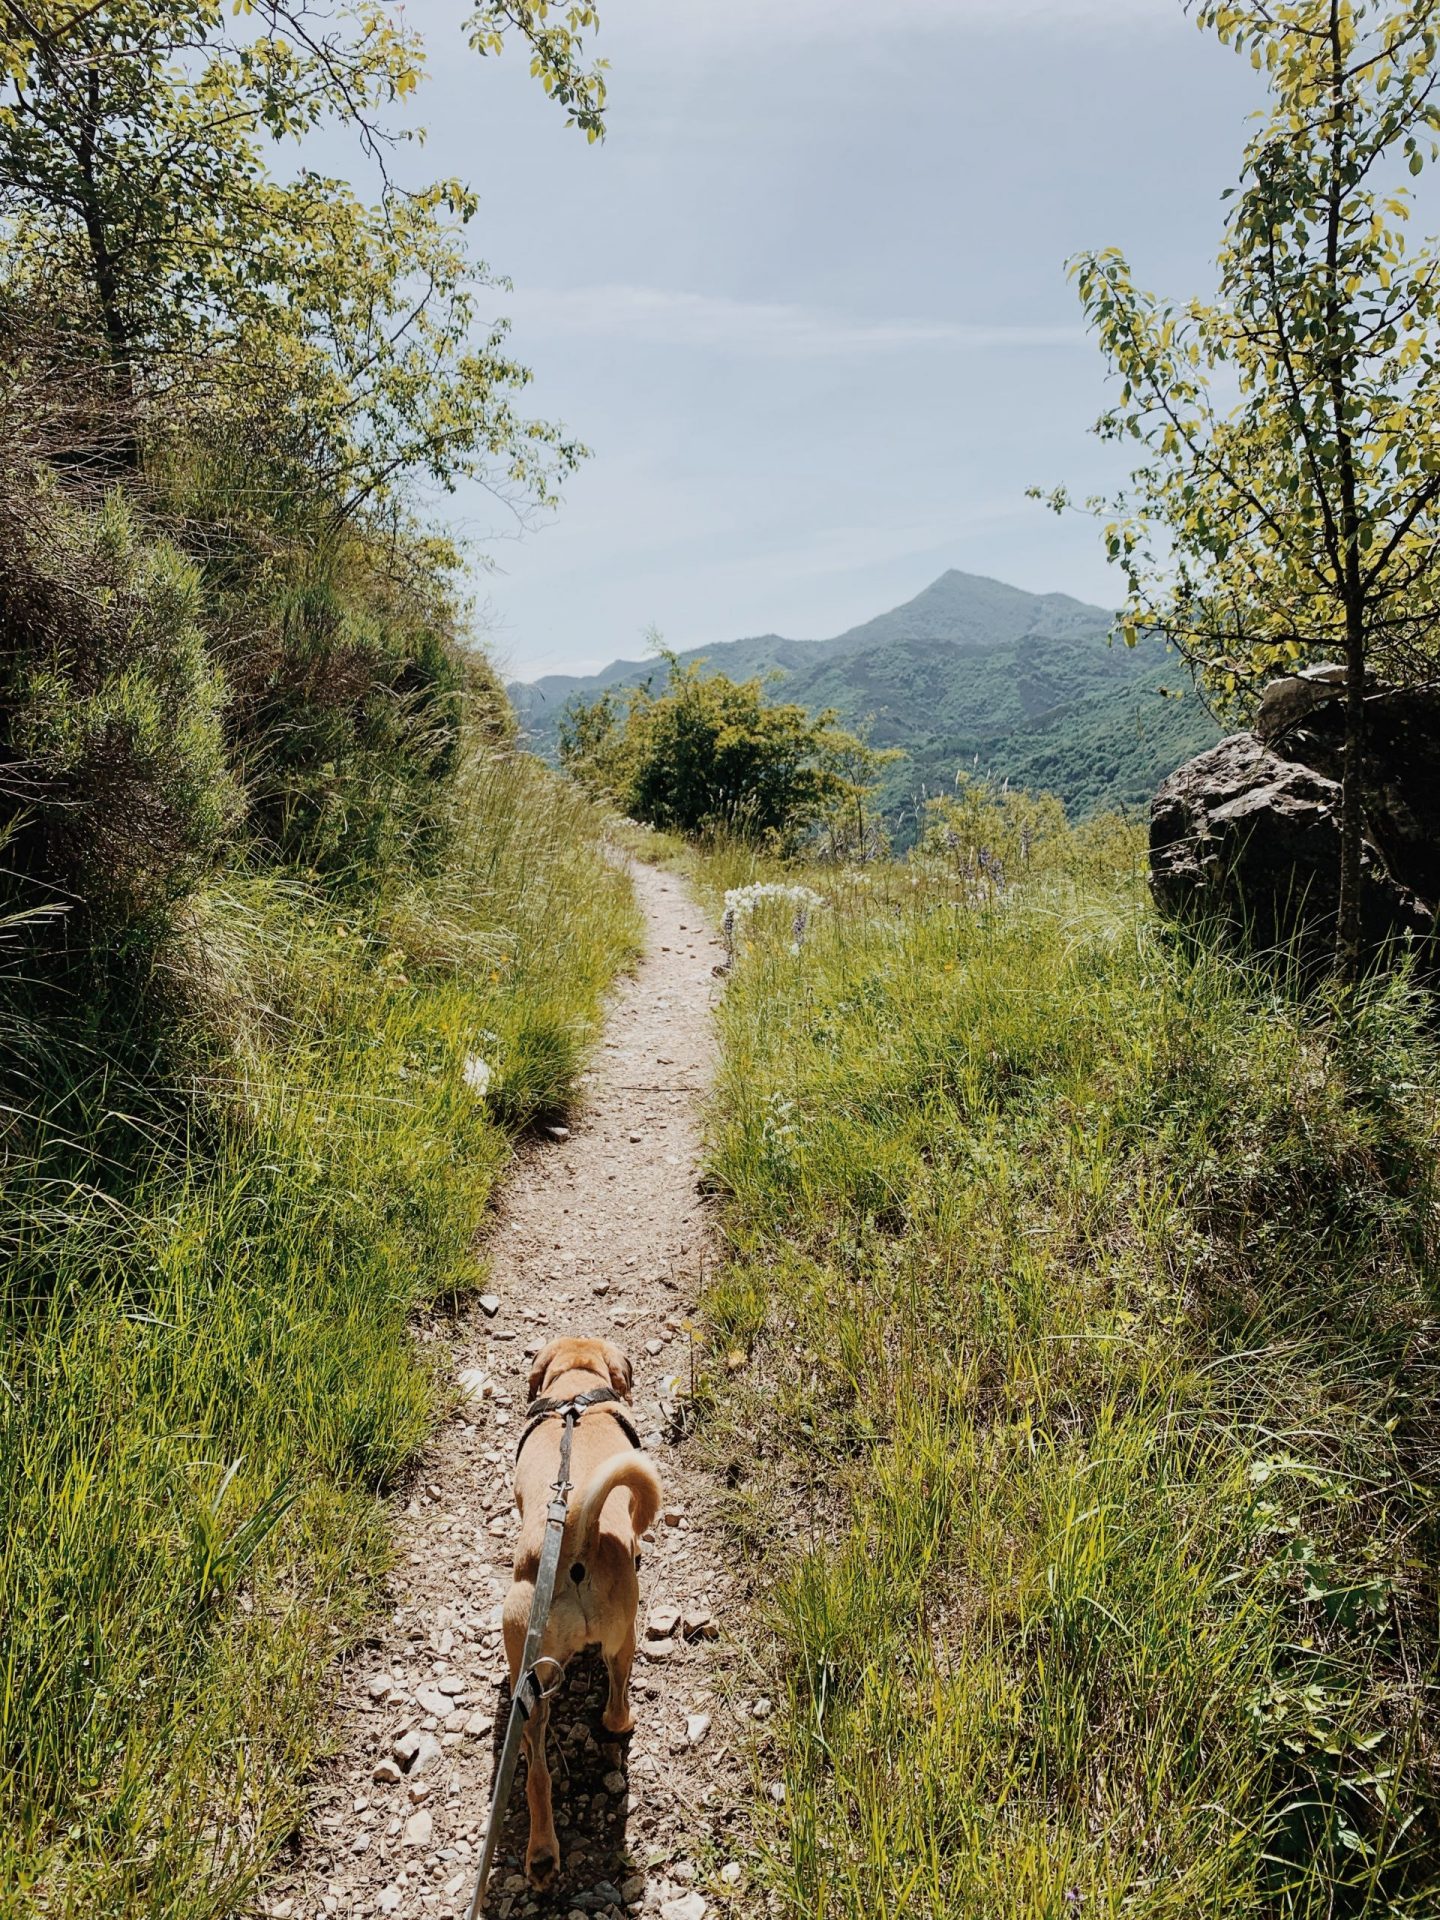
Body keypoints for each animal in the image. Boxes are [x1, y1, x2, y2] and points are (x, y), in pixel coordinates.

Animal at [503, 1336, 664, 1889]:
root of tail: (574, 1531)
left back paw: (541, 1855)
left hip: (528, 1676)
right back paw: (623, 1721)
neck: (575, 1391)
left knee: (536, 1772)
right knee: (615, 1708)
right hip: (623, 1637)